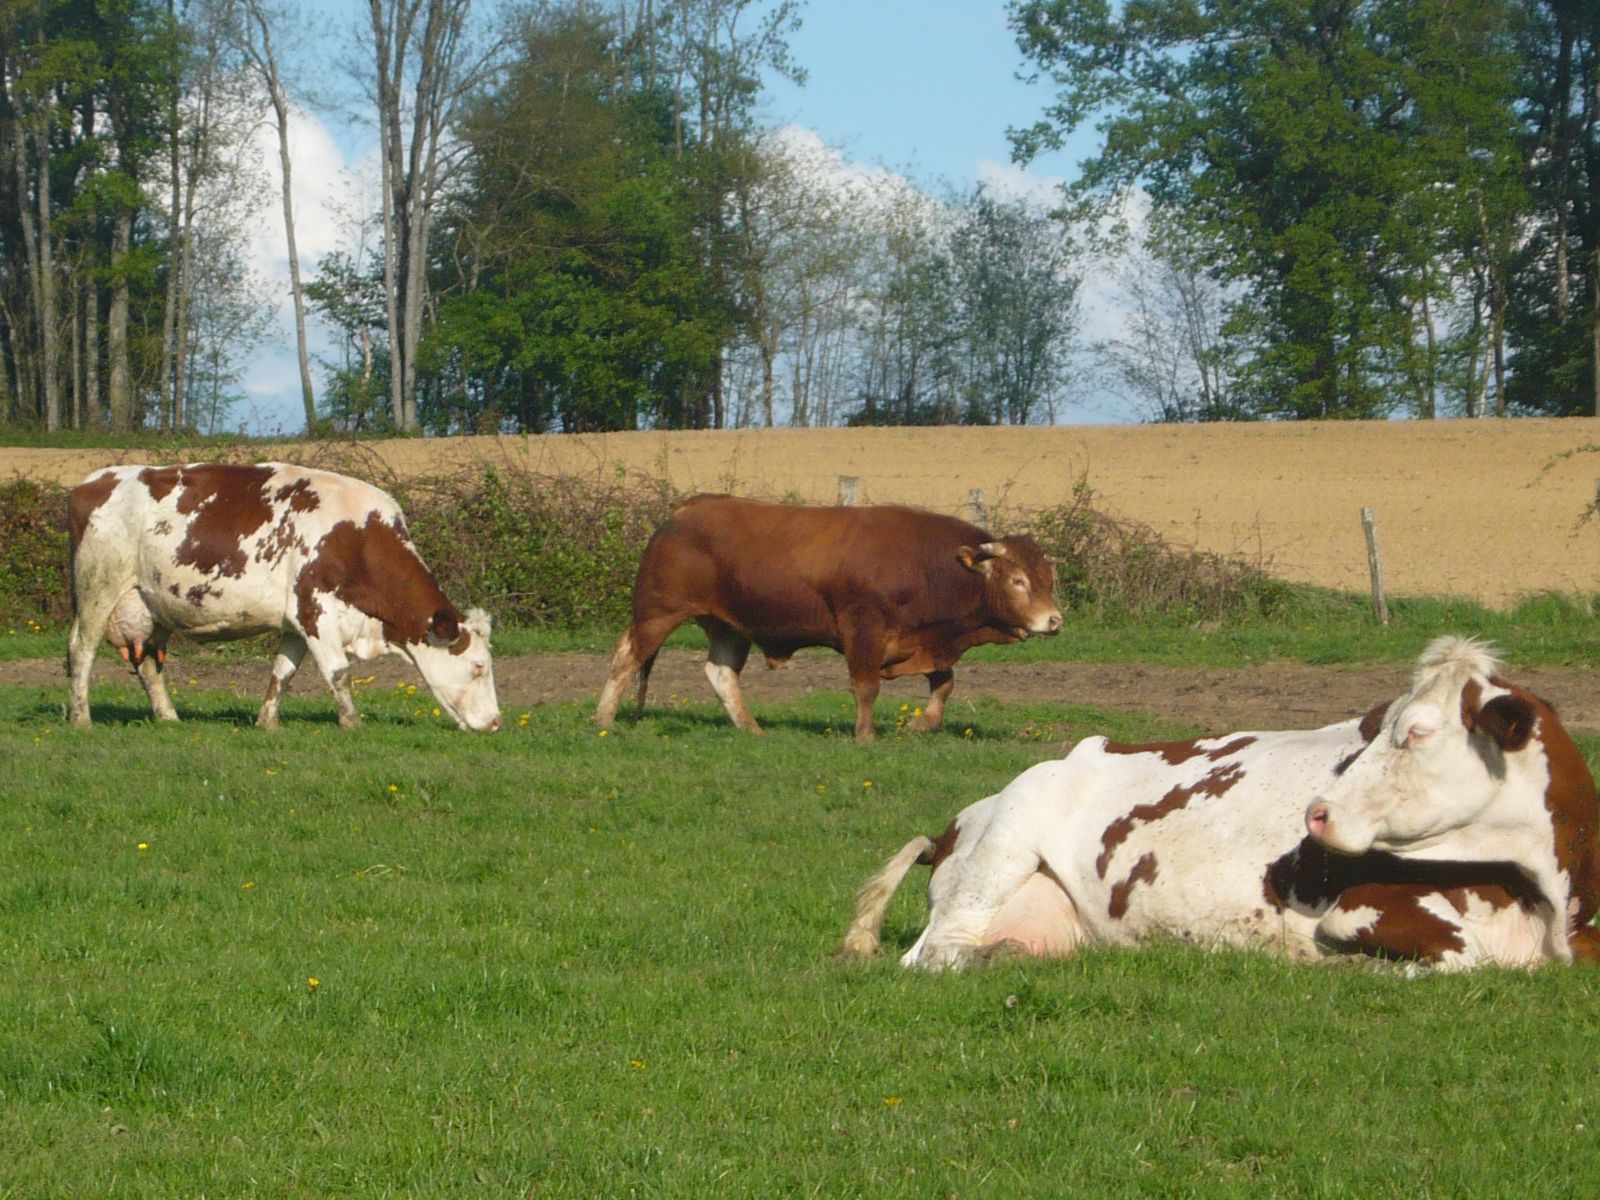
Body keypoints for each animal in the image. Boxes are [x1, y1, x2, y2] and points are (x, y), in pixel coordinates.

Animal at [67, 463, 501, 733]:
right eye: (479, 666)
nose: (497, 722)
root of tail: (95, 480)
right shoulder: (314, 610)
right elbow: (339, 672)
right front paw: (353, 722)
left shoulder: (295, 621)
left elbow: (282, 673)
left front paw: (267, 722)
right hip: (97, 589)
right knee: (81, 652)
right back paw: (81, 718)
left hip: (152, 606)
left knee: (147, 662)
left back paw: (169, 716)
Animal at [595, 494, 1063, 741]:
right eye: (1018, 580)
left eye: (1048, 578)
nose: (1054, 621)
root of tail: (686, 509)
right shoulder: (863, 629)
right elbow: (867, 686)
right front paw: (866, 736)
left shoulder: (930, 642)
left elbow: (944, 684)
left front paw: (923, 723)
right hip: (657, 613)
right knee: (626, 658)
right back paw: (603, 718)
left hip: (730, 627)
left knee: (721, 673)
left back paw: (751, 728)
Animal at [840, 637, 1600, 971]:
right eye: (1386, 724)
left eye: (1414, 731)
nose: (1316, 813)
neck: (1557, 901)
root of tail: (957, 821)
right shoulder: (1359, 910)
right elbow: (1460, 958)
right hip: (1001, 850)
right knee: (935, 955)